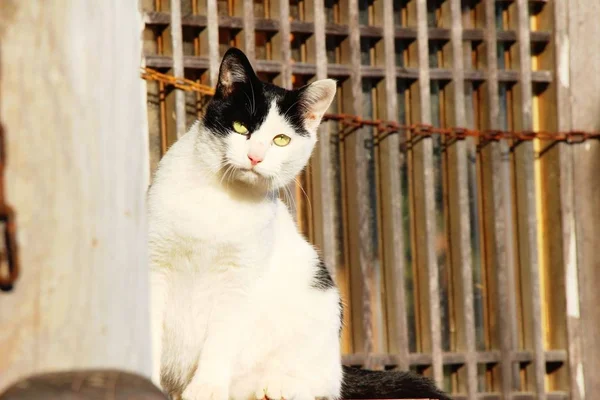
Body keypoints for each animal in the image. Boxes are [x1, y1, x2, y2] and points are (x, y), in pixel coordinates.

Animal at [149, 47, 450, 400]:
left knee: (324, 385)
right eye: (240, 126)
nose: (255, 156)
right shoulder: (154, 265)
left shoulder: (239, 281)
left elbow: (221, 338)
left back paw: (277, 387)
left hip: (320, 307)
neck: (222, 197)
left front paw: (207, 389)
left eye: (281, 140)